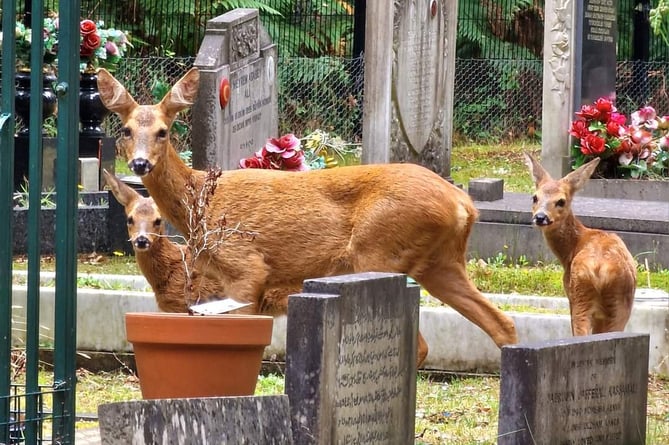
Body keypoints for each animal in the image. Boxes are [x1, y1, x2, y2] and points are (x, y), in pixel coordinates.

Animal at [524, 153, 636, 332]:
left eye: (561, 201)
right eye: (534, 197)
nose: (540, 217)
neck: (571, 249)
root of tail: (602, 269)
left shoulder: (570, 292)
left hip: (580, 293)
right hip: (621, 305)